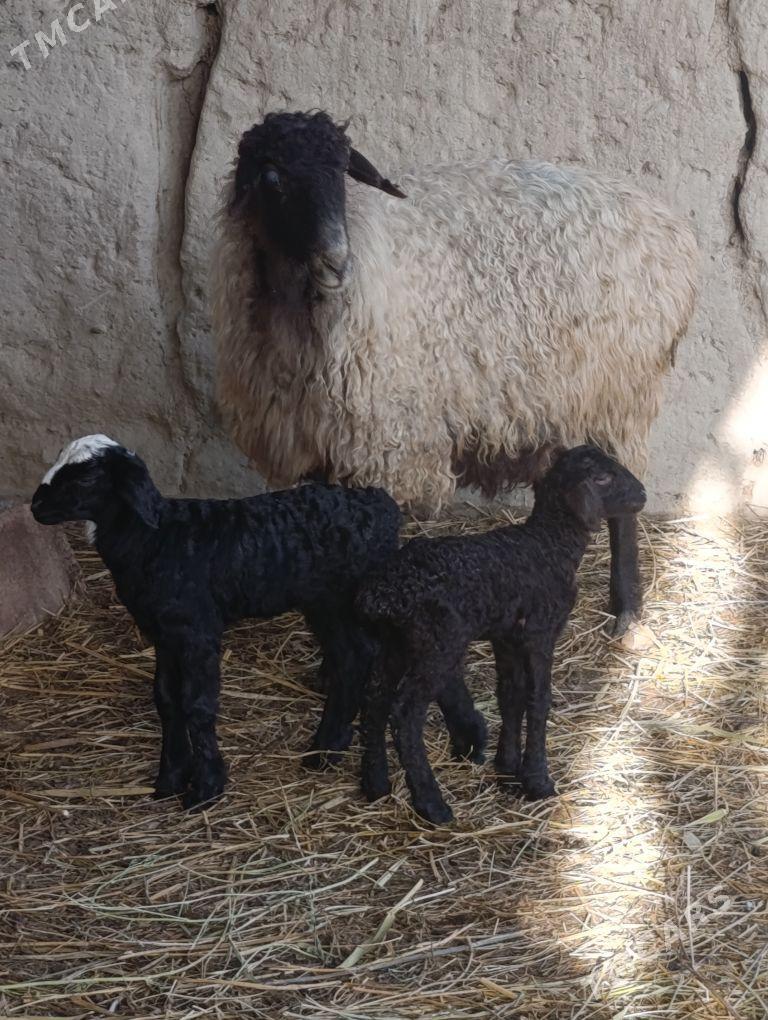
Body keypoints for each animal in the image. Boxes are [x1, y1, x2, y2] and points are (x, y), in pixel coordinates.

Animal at [30, 435, 402, 810]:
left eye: (87, 478)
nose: (35, 506)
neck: (154, 540)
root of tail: (382, 504)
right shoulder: (165, 633)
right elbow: (167, 699)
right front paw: (170, 777)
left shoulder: (198, 631)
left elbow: (197, 705)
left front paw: (206, 787)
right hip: (322, 603)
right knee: (352, 656)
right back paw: (332, 744)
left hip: (342, 599)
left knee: (356, 655)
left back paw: (326, 747)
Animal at [211, 110, 697, 641]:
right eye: (272, 178)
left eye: (341, 172)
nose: (336, 261)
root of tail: (669, 226)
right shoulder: (320, 439)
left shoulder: (386, 441)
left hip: (620, 389)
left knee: (625, 499)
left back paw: (627, 610)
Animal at [355, 446, 647, 824]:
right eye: (602, 477)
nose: (642, 495)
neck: (550, 545)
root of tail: (384, 593)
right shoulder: (540, 632)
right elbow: (538, 699)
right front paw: (537, 780)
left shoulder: (506, 637)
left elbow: (511, 695)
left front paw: (507, 768)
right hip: (438, 645)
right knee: (404, 713)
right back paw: (432, 804)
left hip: (396, 644)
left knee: (374, 699)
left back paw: (375, 783)